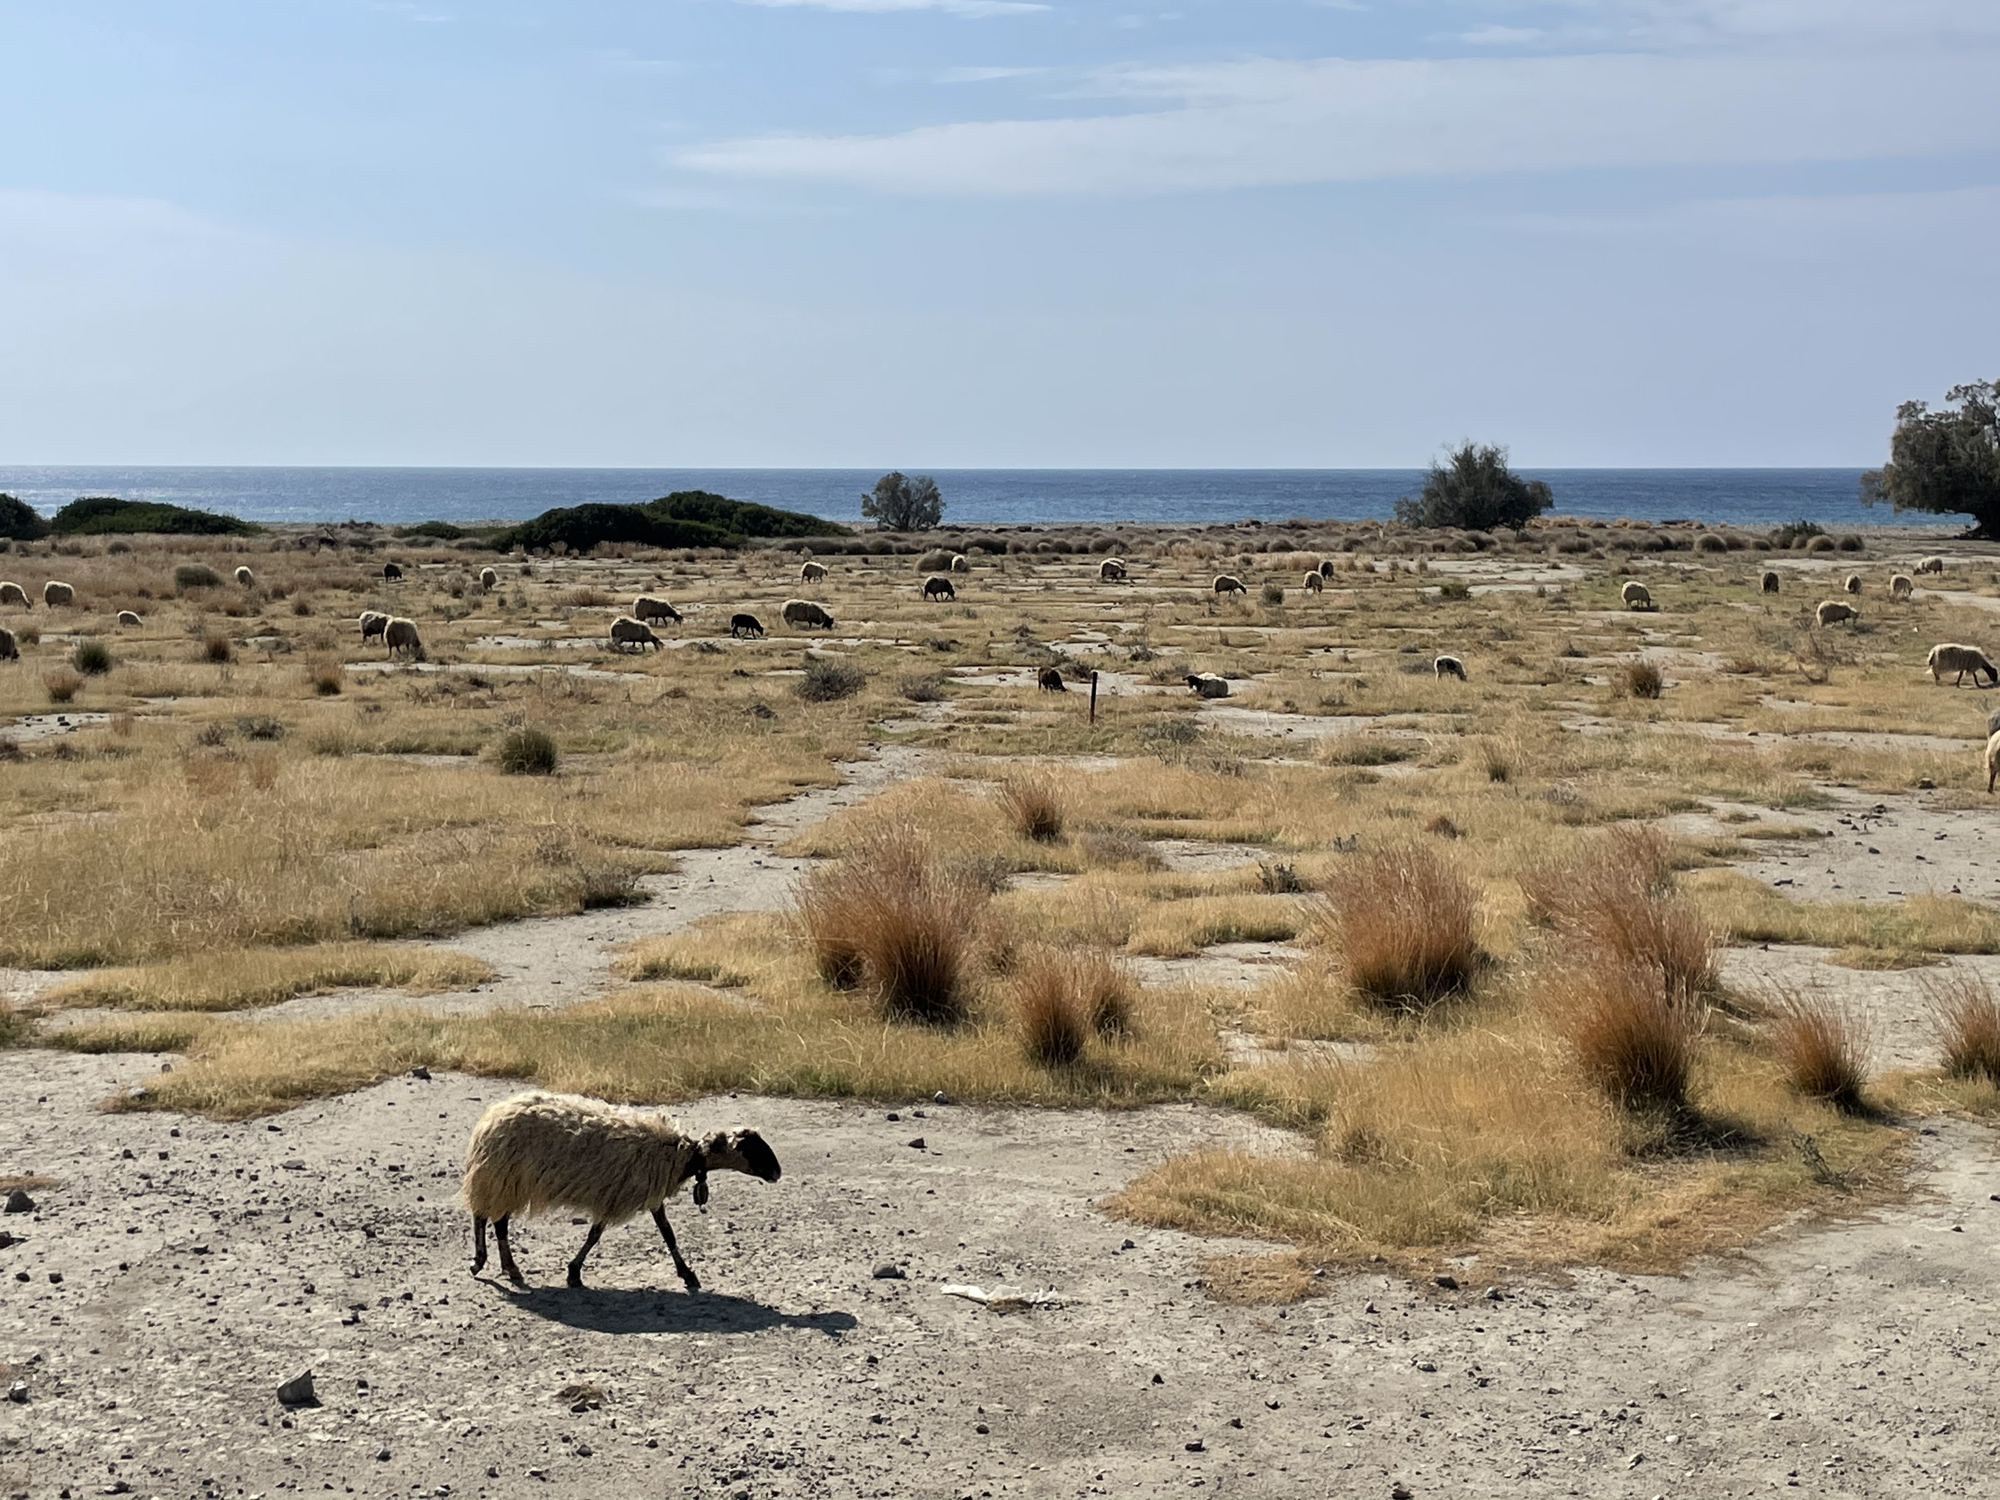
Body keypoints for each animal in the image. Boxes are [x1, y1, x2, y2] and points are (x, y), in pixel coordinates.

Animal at [462, 1089, 781, 1290]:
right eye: (754, 1148)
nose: (777, 1173)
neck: (683, 1156)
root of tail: (491, 1119)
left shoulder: (648, 1196)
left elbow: (668, 1233)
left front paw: (687, 1273)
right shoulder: (616, 1195)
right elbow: (595, 1236)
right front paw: (574, 1273)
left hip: (505, 1180)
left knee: (495, 1220)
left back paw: (505, 1266)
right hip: (502, 1176)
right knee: (485, 1217)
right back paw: (484, 1263)